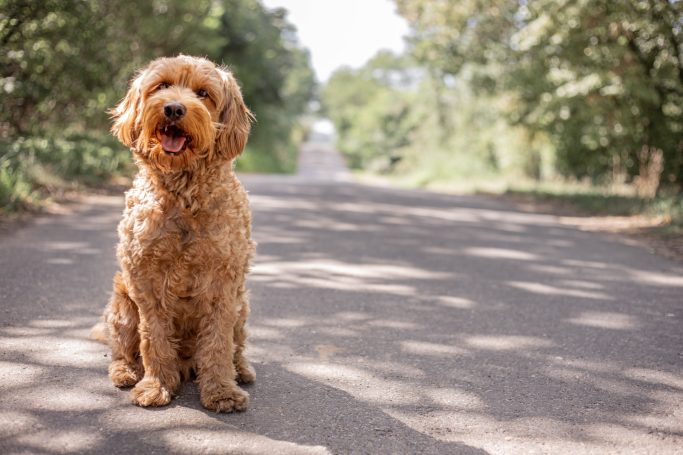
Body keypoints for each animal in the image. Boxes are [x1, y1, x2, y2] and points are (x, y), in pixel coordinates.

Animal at [99, 56, 256, 414]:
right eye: (162, 86)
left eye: (204, 93)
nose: (173, 108)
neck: (184, 193)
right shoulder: (146, 280)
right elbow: (153, 338)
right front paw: (156, 386)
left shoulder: (223, 282)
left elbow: (218, 344)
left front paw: (221, 391)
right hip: (122, 307)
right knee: (123, 350)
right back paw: (126, 372)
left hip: (241, 308)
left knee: (236, 347)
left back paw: (240, 370)